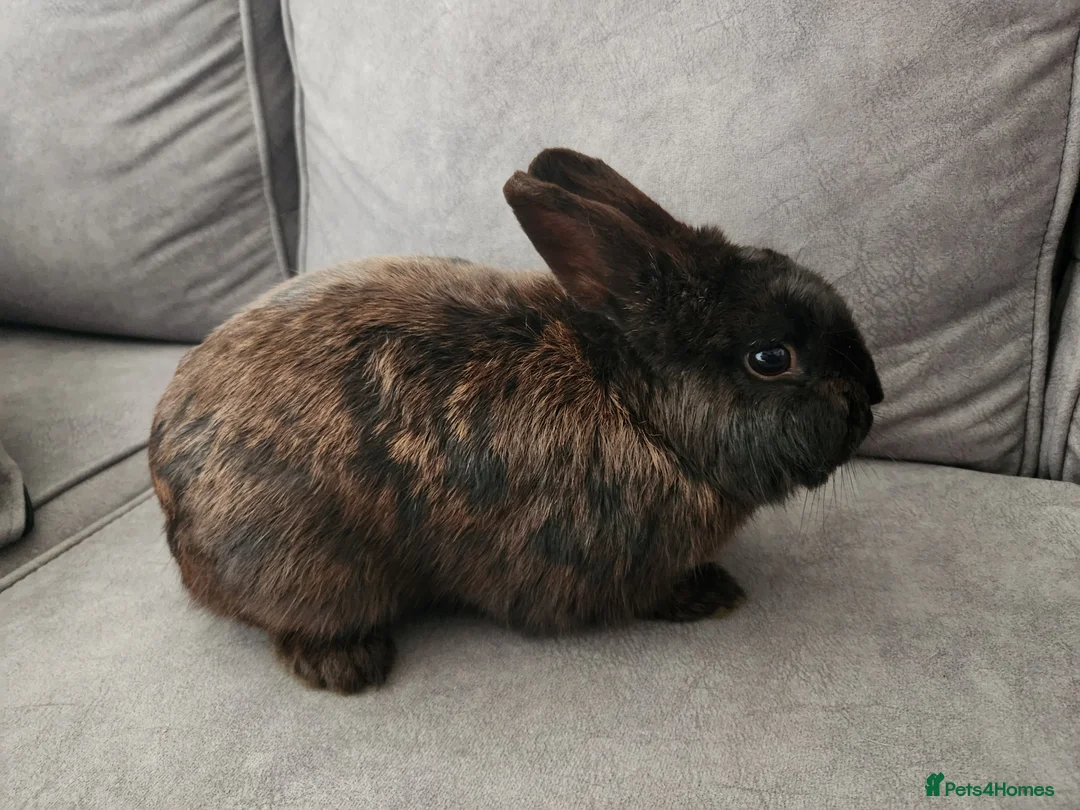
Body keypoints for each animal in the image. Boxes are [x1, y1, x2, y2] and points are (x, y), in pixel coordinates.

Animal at [149, 148, 883, 694]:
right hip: (314, 567)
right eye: (770, 357)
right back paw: (350, 666)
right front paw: (713, 595)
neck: (634, 406)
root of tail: (170, 499)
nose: (873, 398)